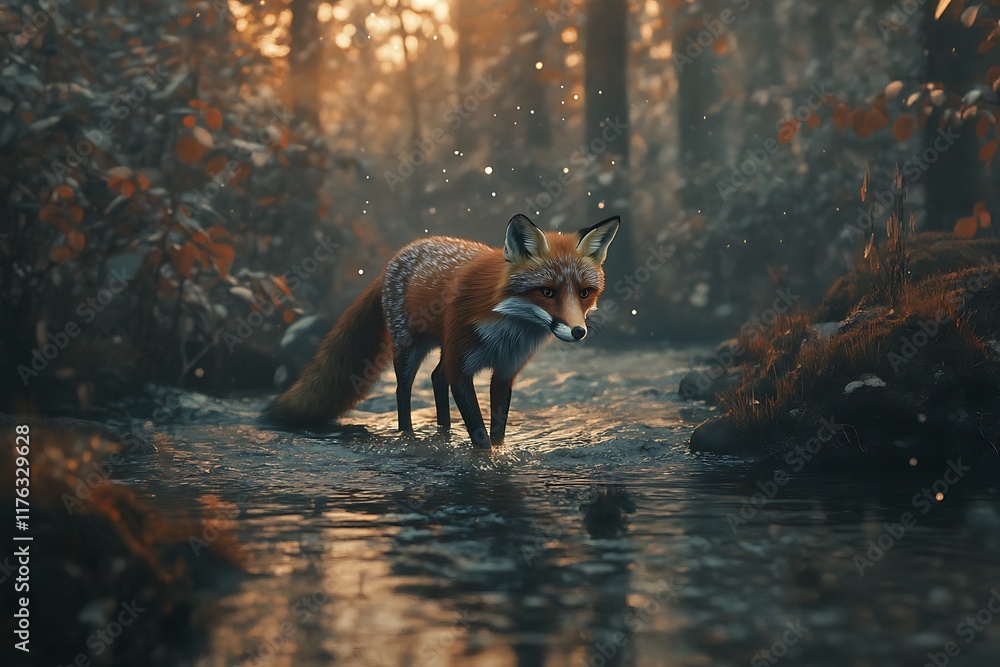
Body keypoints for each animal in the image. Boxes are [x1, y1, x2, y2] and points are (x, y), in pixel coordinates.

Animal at [266, 213, 620, 448]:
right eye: (547, 292)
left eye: (585, 293)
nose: (578, 332)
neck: (507, 330)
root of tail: (399, 255)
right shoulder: (461, 367)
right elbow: (480, 435)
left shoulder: (505, 372)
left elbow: (498, 433)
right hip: (411, 350)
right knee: (403, 391)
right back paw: (409, 435)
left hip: (443, 347)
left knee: (437, 377)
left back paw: (444, 433)